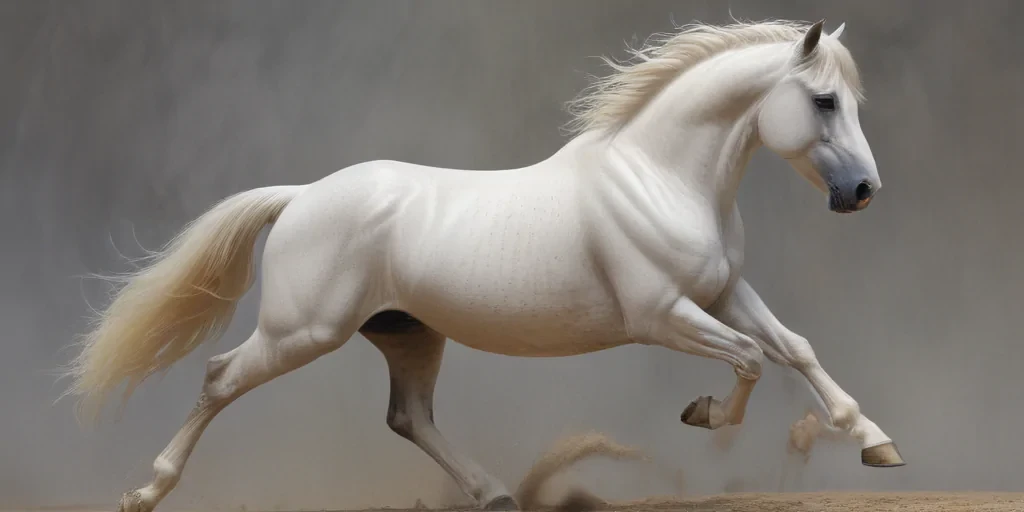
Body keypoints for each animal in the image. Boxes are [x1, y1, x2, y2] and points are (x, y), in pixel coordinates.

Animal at [59, 18, 904, 512]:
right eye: (824, 101)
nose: (864, 192)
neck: (661, 177)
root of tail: (301, 197)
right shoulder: (662, 315)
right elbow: (752, 359)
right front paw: (703, 414)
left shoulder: (724, 292)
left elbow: (794, 348)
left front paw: (875, 443)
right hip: (303, 332)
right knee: (219, 378)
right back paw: (145, 490)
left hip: (407, 333)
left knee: (409, 416)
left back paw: (495, 494)